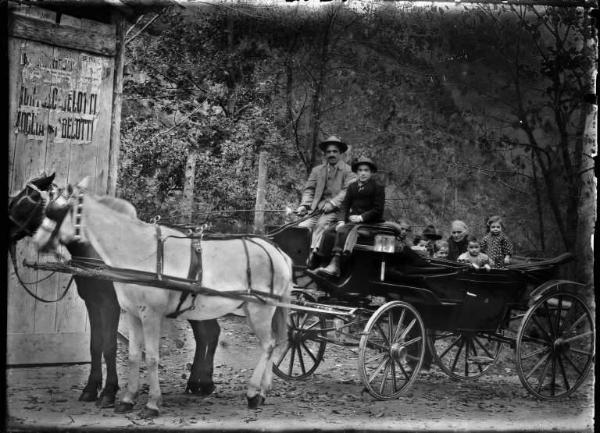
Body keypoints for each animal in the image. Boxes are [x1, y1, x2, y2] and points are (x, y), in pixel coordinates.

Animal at [8, 172, 220, 404]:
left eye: (25, 201)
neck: (95, 250)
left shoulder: (111, 304)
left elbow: (109, 346)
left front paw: (109, 391)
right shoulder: (92, 302)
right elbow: (95, 345)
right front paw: (91, 388)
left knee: (209, 333)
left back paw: (203, 382)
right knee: (207, 333)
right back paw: (199, 382)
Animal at [34, 178, 292, 416]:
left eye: (57, 212)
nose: (37, 242)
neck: (138, 253)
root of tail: (276, 251)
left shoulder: (150, 314)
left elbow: (151, 357)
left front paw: (152, 403)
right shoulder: (132, 313)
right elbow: (133, 355)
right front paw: (127, 399)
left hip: (260, 310)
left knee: (268, 345)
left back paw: (253, 393)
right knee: (268, 344)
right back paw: (262, 391)